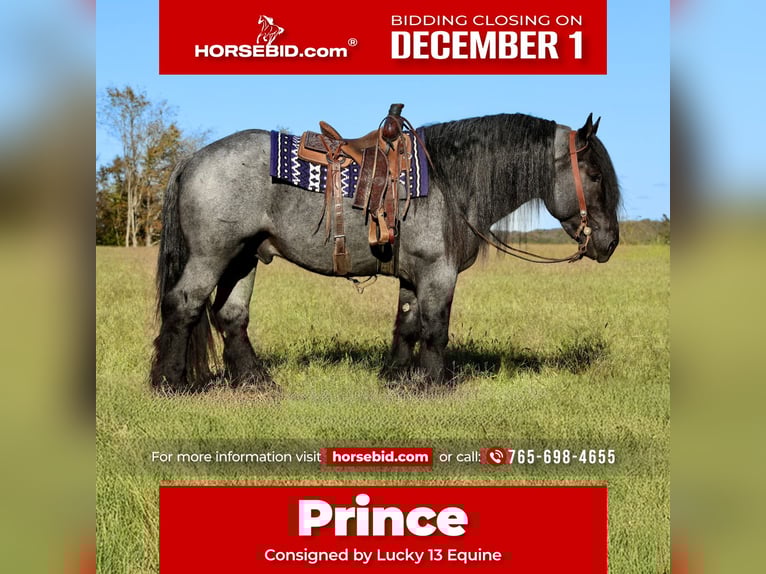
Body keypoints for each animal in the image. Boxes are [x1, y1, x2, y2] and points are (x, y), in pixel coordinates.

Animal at [150, 112, 620, 392]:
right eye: (595, 175)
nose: (610, 242)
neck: (448, 181)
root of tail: (192, 159)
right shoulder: (437, 273)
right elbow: (435, 328)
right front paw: (434, 384)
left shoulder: (414, 276)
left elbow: (407, 325)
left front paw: (396, 378)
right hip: (212, 256)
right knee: (183, 306)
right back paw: (170, 383)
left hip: (243, 257)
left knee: (231, 315)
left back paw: (256, 381)